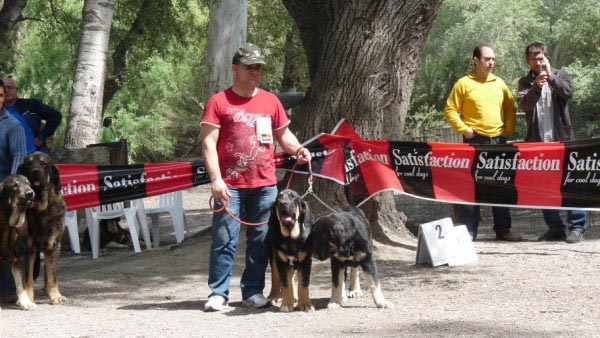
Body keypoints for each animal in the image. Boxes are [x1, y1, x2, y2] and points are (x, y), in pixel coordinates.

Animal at [0, 174, 35, 308]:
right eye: (14, 186)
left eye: (28, 183)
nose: (30, 193)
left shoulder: (19, 257)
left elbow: (21, 283)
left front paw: (25, 302)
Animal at [17, 152, 68, 304]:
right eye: (29, 163)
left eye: (43, 163)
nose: (35, 172)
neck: (41, 208)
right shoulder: (28, 249)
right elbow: (27, 277)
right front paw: (28, 296)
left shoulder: (53, 245)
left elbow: (52, 274)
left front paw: (55, 295)